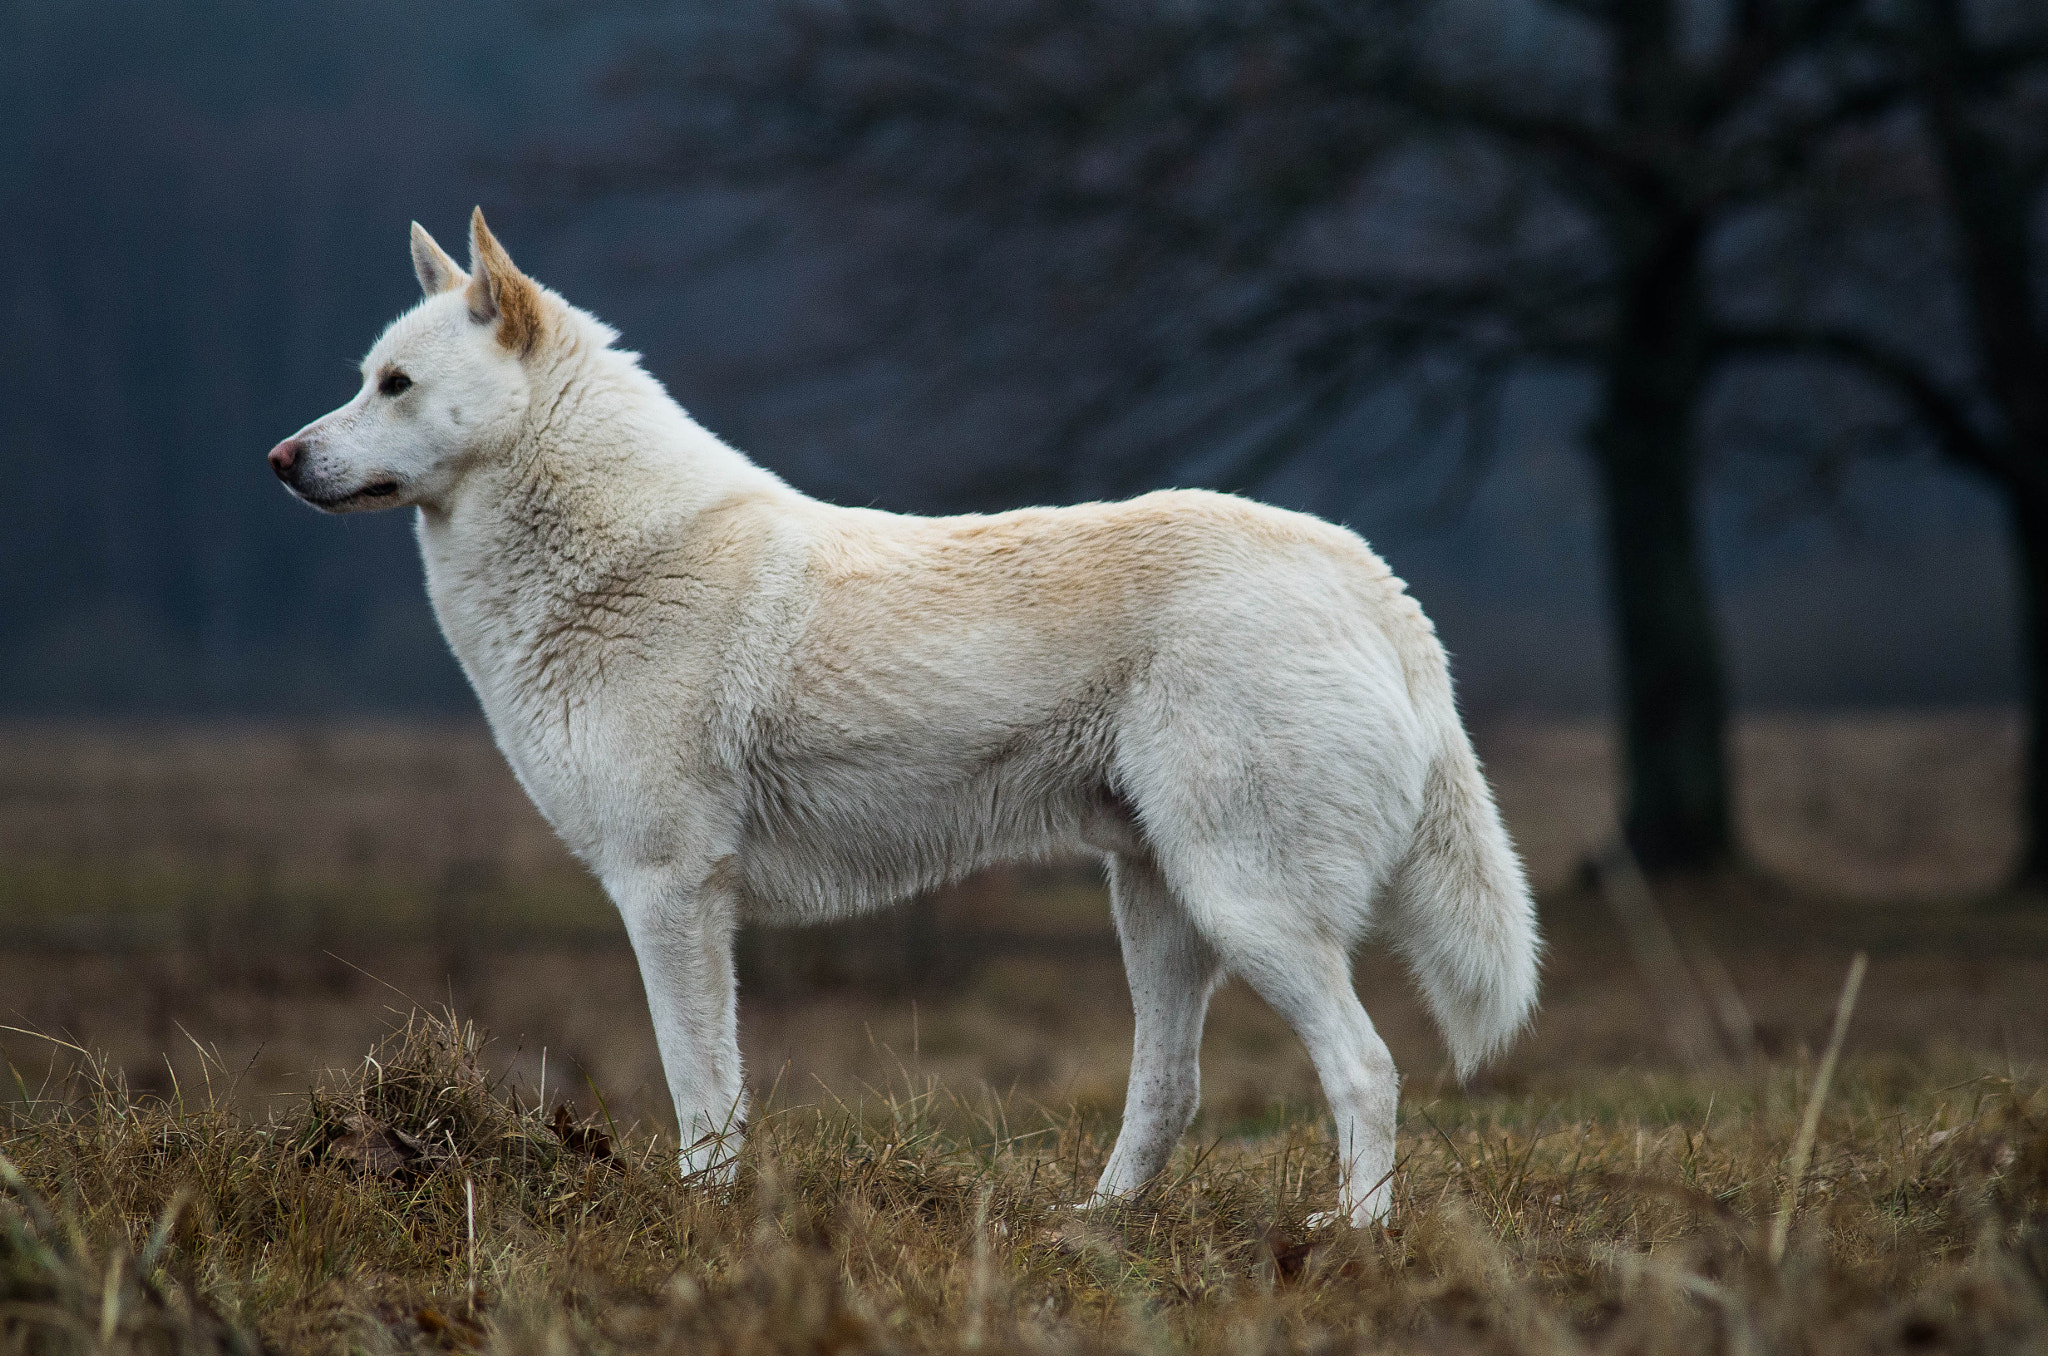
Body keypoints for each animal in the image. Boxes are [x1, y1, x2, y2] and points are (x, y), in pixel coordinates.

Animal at [280, 213, 1540, 1229]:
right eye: (364, 378)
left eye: (395, 384)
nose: (281, 458)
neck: (611, 557)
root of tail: (1373, 582)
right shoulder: (680, 896)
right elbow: (715, 1087)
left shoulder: (668, 890)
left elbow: (699, 1089)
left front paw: (700, 1221)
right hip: (1160, 905)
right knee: (1172, 1091)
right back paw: (1095, 1223)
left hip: (1248, 906)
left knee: (1366, 1068)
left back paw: (1354, 1234)